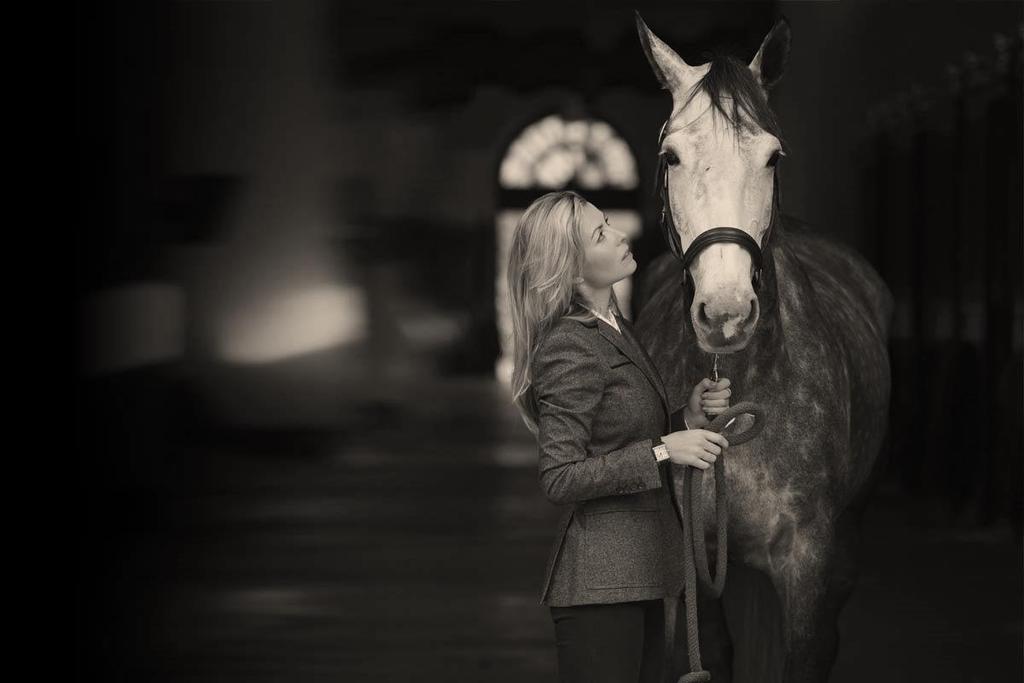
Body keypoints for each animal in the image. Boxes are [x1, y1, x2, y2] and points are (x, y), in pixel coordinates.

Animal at [630, 14, 897, 683]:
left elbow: (807, 653)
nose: (725, 312)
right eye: (671, 156)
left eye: (772, 156)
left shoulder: (809, 560)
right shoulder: (696, 554)